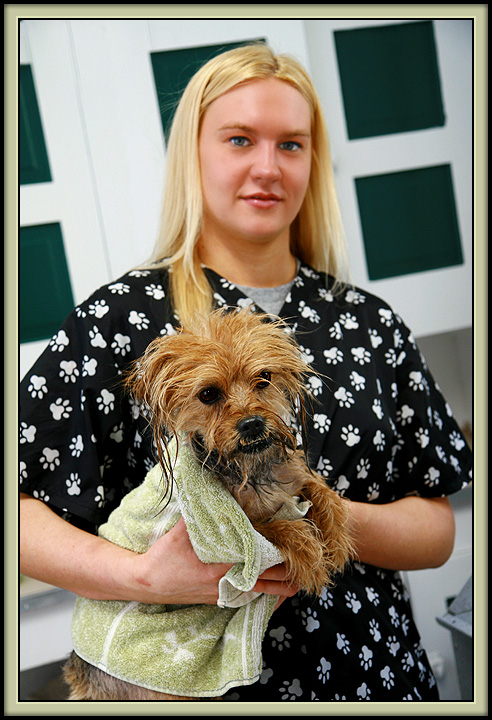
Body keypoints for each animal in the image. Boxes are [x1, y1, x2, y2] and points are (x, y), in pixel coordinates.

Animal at [63, 306, 354, 700]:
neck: (249, 466)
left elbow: (319, 489)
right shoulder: (226, 535)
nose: (252, 424)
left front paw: (335, 535)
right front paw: (307, 548)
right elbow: (265, 527)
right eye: (208, 394)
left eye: (264, 378)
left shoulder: (290, 475)